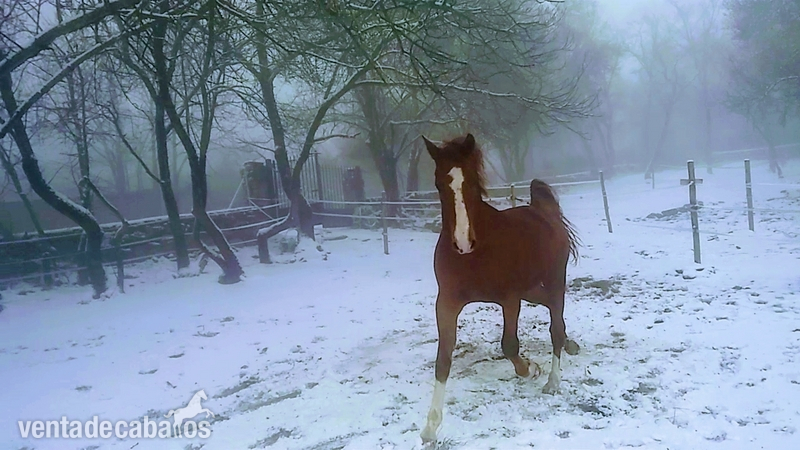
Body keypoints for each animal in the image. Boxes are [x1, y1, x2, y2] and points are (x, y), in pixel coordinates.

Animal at [419, 133, 581, 444]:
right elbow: (443, 359)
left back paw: (553, 380)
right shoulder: (447, 302)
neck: (477, 253)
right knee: (554, 313)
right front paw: (430, 427)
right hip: (532, 289)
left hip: (554, 280)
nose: (463, 242)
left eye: (471, 182)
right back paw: (571, 345)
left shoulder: (509, 298)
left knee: (555, 323)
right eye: (438, 184)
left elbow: (509, 345)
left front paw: (531, 368)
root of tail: (544, 211)